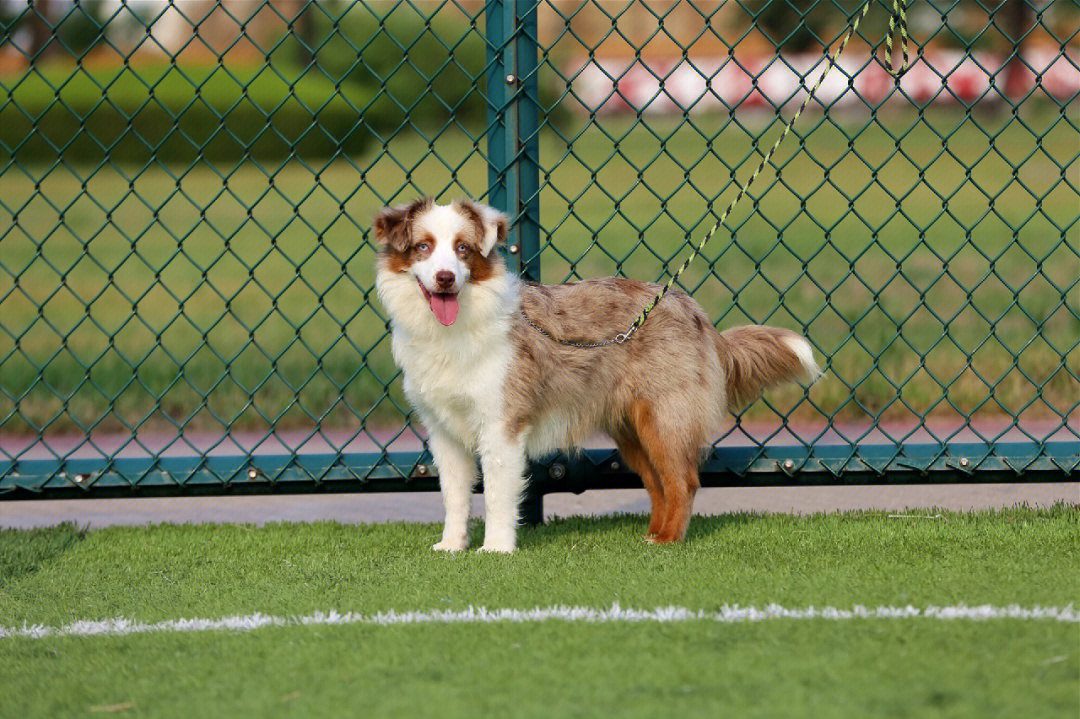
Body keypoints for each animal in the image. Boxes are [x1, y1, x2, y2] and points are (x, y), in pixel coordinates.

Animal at [371, 196, 816, 548]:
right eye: (423, 247)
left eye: (462, 248)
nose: (445, 278)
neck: (454, 326)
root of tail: (694, 310)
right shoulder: (443, 431)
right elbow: (454, 496)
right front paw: (452, 546)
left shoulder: (501, 425)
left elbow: (498, 495)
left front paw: (495, 550)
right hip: (632, 429)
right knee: (658, 484)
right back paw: (653, 535)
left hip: (665, 417)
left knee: (683, 482)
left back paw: (669, 540)